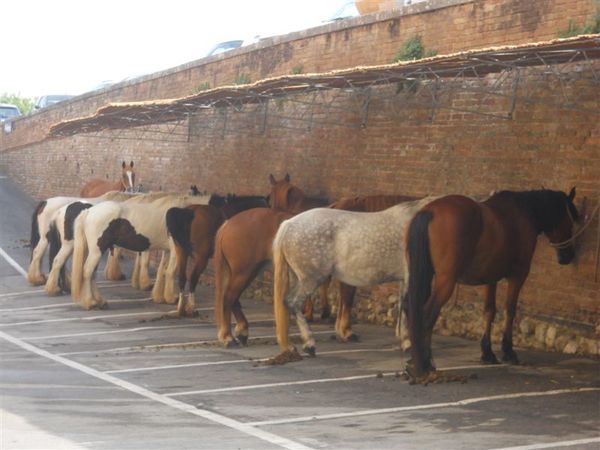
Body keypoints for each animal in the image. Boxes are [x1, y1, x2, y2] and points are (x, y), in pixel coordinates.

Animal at [71, 193, 213, 310]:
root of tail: (89, 211)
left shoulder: (167, 251)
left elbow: (162, 271)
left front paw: (159, 297)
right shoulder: (176, 251)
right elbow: (171, 272)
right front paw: (171, 298)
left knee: (92, 274)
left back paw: (100, 301)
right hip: (97, 251)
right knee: (87, 272)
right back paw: (89, 302)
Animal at [213, 174, 328, 346]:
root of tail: (228, 224)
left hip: (248, 272)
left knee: (234, 299)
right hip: (243, 272)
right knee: (228, 298)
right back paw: (228, 337)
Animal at [272, 197, 436, 358]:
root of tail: (289, 224)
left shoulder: (404, 279)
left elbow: (402, 306)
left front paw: (403, 340)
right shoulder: (412, 277)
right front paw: (408, 343)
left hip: (298, 278)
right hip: (311, 279)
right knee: (292, 302)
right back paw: (310, 344)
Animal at [406, 186, 580, 380]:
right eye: (570, 222)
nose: (567, 256)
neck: (523, 213)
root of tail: (430, 211)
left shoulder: (490, 278)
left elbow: (489, 311)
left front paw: (487, 352)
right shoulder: (518, 275)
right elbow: (510, 310)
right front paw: (508, 351)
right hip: (445, 281)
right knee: (427, 315)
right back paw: (424, 365)